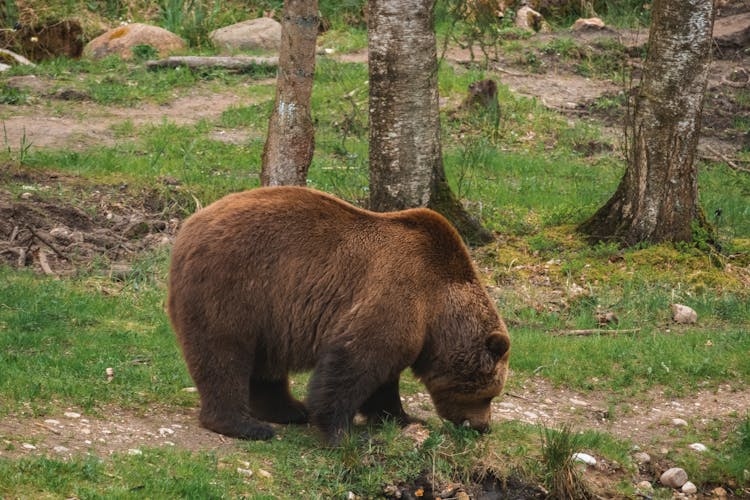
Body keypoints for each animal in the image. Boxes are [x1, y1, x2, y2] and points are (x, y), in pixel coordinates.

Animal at [168, 187, 516, 442]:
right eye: (488, 393)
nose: (483, 426)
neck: (437, 311)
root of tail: (189, 226)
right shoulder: (396, 295)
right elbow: (356, 363)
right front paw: (341, 431)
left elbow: (384, 380)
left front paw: (400, 417)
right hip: (235, 287)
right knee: (223, 354)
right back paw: (246, 425)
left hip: (270, 316)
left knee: (265, 365)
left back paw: (289, 411)